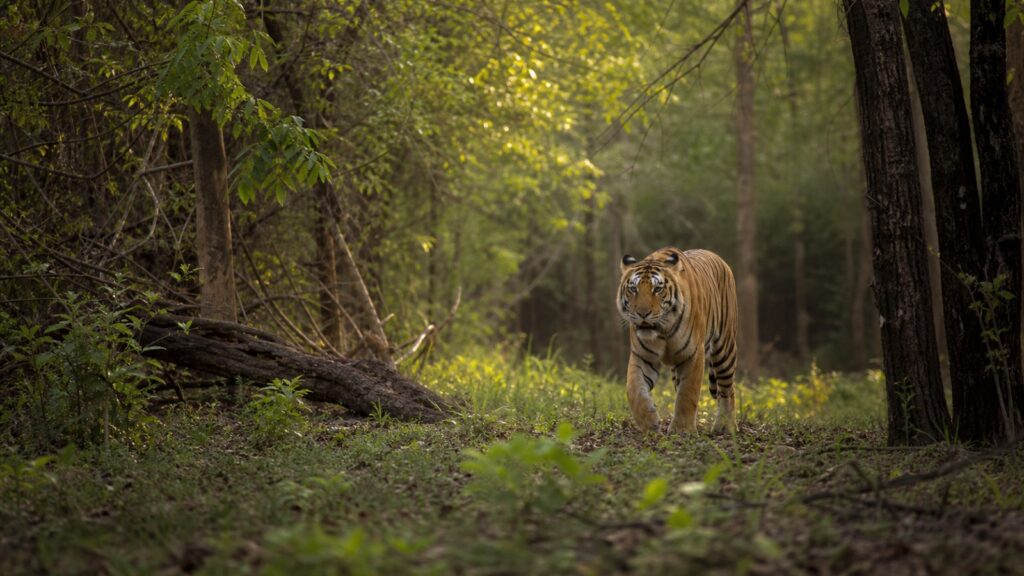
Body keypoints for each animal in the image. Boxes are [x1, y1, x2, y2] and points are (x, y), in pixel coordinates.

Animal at [617, 247, 738, 434]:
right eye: (633, 289)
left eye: (657, 289)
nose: (642, 313)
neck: (663, 330)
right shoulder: (643, 356)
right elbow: (634, 389)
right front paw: (649, 422)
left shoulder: (693, 354)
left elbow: (687, 393)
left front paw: (682, 429)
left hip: (724, 349)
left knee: (727, 390)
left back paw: (725, 426)